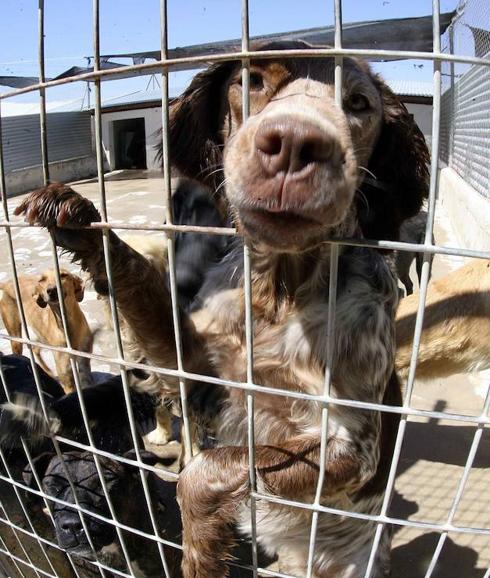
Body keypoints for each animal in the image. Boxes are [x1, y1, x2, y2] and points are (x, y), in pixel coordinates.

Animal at [15, 41, 428, 576]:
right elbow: (137, 278)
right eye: (251, 80)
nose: (295, 143)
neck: (278, 293)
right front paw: (80, 219)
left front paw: (201, 548)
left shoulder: (352, 445)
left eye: (359, 104)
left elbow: (202, 470)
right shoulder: (194, 365)